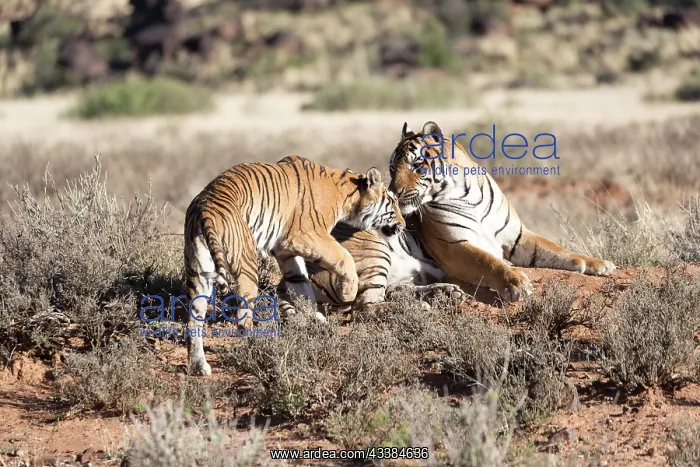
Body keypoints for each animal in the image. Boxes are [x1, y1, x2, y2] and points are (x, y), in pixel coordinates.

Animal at [184, 155, 404, 376]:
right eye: (393, 203)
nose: (403, 224)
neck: (345, 193)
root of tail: (205, 209)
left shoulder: (286, 249)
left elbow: (301, 283)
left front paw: (314, 318)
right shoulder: (308, 236)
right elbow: (344, 257)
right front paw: (347, 293)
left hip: (199, 271)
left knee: (194, 319)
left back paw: (199, 366)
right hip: (246, 264)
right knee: (242, 316)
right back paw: (256, 346)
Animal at [387, 121, 616, 302]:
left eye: (417, 165)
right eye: (392, 168)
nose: (392, 193)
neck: (466, 195)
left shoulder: (517, 236)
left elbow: (556, 249)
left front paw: (598, 264)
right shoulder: (454, 245)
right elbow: (488, 261)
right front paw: (516, 284)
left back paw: (446, 293)